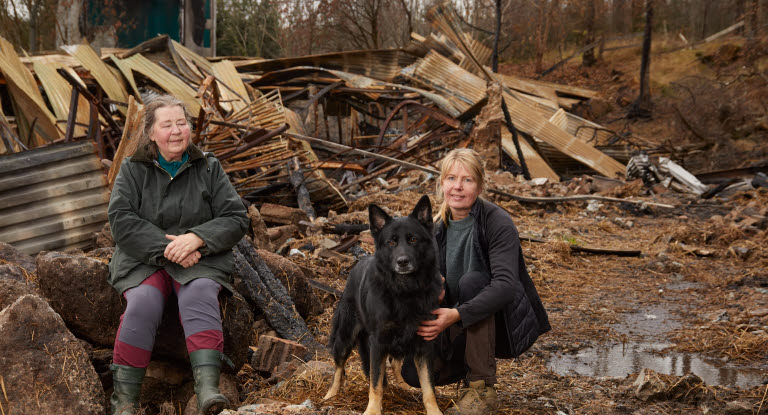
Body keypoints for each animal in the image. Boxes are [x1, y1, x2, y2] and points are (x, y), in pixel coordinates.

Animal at [324, 196, 444, 415]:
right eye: (391, 242)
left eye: (413, 240)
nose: (402, 261)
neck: (404, 291)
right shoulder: (378, 343)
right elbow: (375, 383)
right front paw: (372, 410)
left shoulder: (423, 343)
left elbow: (428, 387)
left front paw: (434, 411)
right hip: (346, 335)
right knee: (338, 366)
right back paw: (332, 393)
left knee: (396, 361)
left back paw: (402, 384)